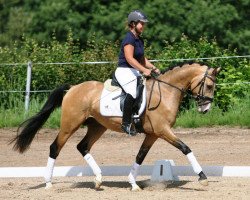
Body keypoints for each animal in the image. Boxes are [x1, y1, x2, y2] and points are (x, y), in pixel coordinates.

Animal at [10, 62, 220, 191]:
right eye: (209, 86)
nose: (206, 109)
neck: (166, 91)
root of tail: (73, 88)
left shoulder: (153, 134)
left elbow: (140, 156)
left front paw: (133, 184)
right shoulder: (163, 131)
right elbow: (185, 148)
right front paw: (202, 177)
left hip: (97, 126)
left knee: (82, 146)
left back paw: (98, 179)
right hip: (70, 124)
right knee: (55, 147)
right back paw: (48, 184)